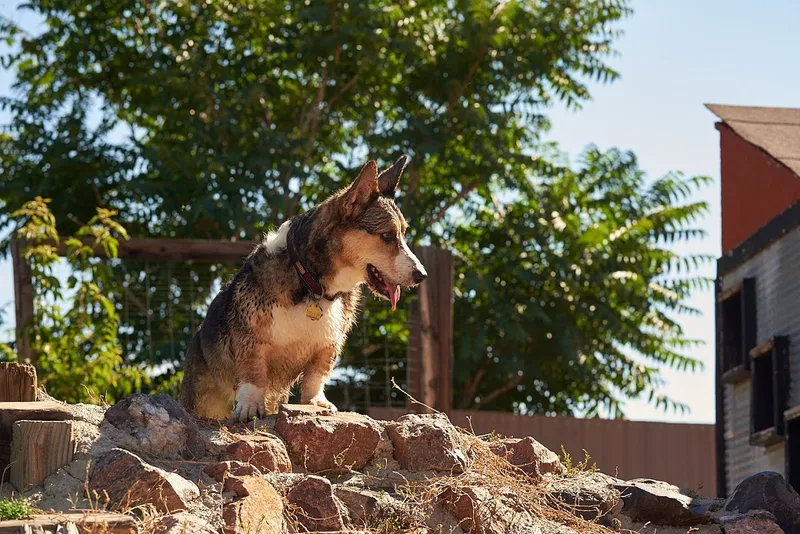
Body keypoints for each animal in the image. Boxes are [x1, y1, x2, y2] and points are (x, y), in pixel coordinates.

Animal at [179, 156, 428, 422]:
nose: (421, 275)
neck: (312, 282)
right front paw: (249, 407)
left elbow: (316, 376)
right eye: (387, 236)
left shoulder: (328, 345)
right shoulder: (250, 338)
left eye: (403, 233)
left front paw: (316, 402)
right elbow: (253, 373)